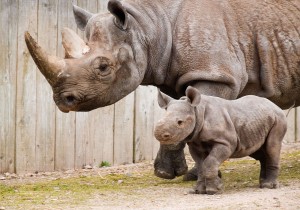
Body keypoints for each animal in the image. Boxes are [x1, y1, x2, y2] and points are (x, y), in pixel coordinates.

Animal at [25, 0, 300, 180]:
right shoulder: (171, 74)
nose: (63, 100)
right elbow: (176, 115)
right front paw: (166, 174)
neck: (149, 26)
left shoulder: (217, 75)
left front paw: (195, 175)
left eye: (103, 67)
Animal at [154, 86, 288, 194]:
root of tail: (276, 106)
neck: (197, 111)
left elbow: (210, 161)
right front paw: (198, 191)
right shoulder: (195, 143)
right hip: (256, 121)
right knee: (257, 151)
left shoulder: (225, 142)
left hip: (278, 119)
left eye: (180, 122)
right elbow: (201, 165)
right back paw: (262, 184)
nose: (159, 134)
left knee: (272, 147)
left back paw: (269, 186)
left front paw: (214, 190)